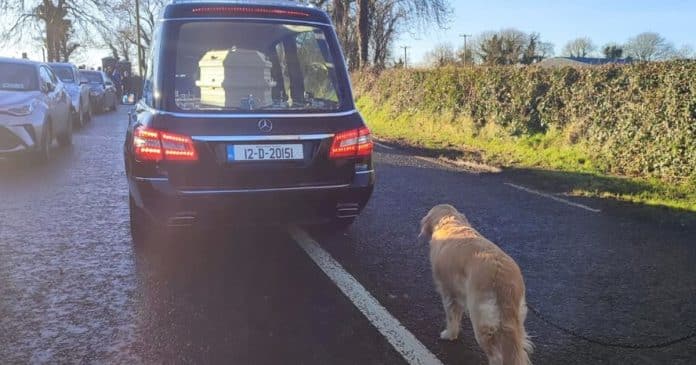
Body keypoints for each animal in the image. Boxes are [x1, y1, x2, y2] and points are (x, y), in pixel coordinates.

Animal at [418, 203, 532, 362]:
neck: (451, 222)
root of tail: (503, 279)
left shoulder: (448, 291)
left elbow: (451, 316)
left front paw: (449, 334)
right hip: (516, 322)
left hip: (481, 318)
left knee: (496, 356)